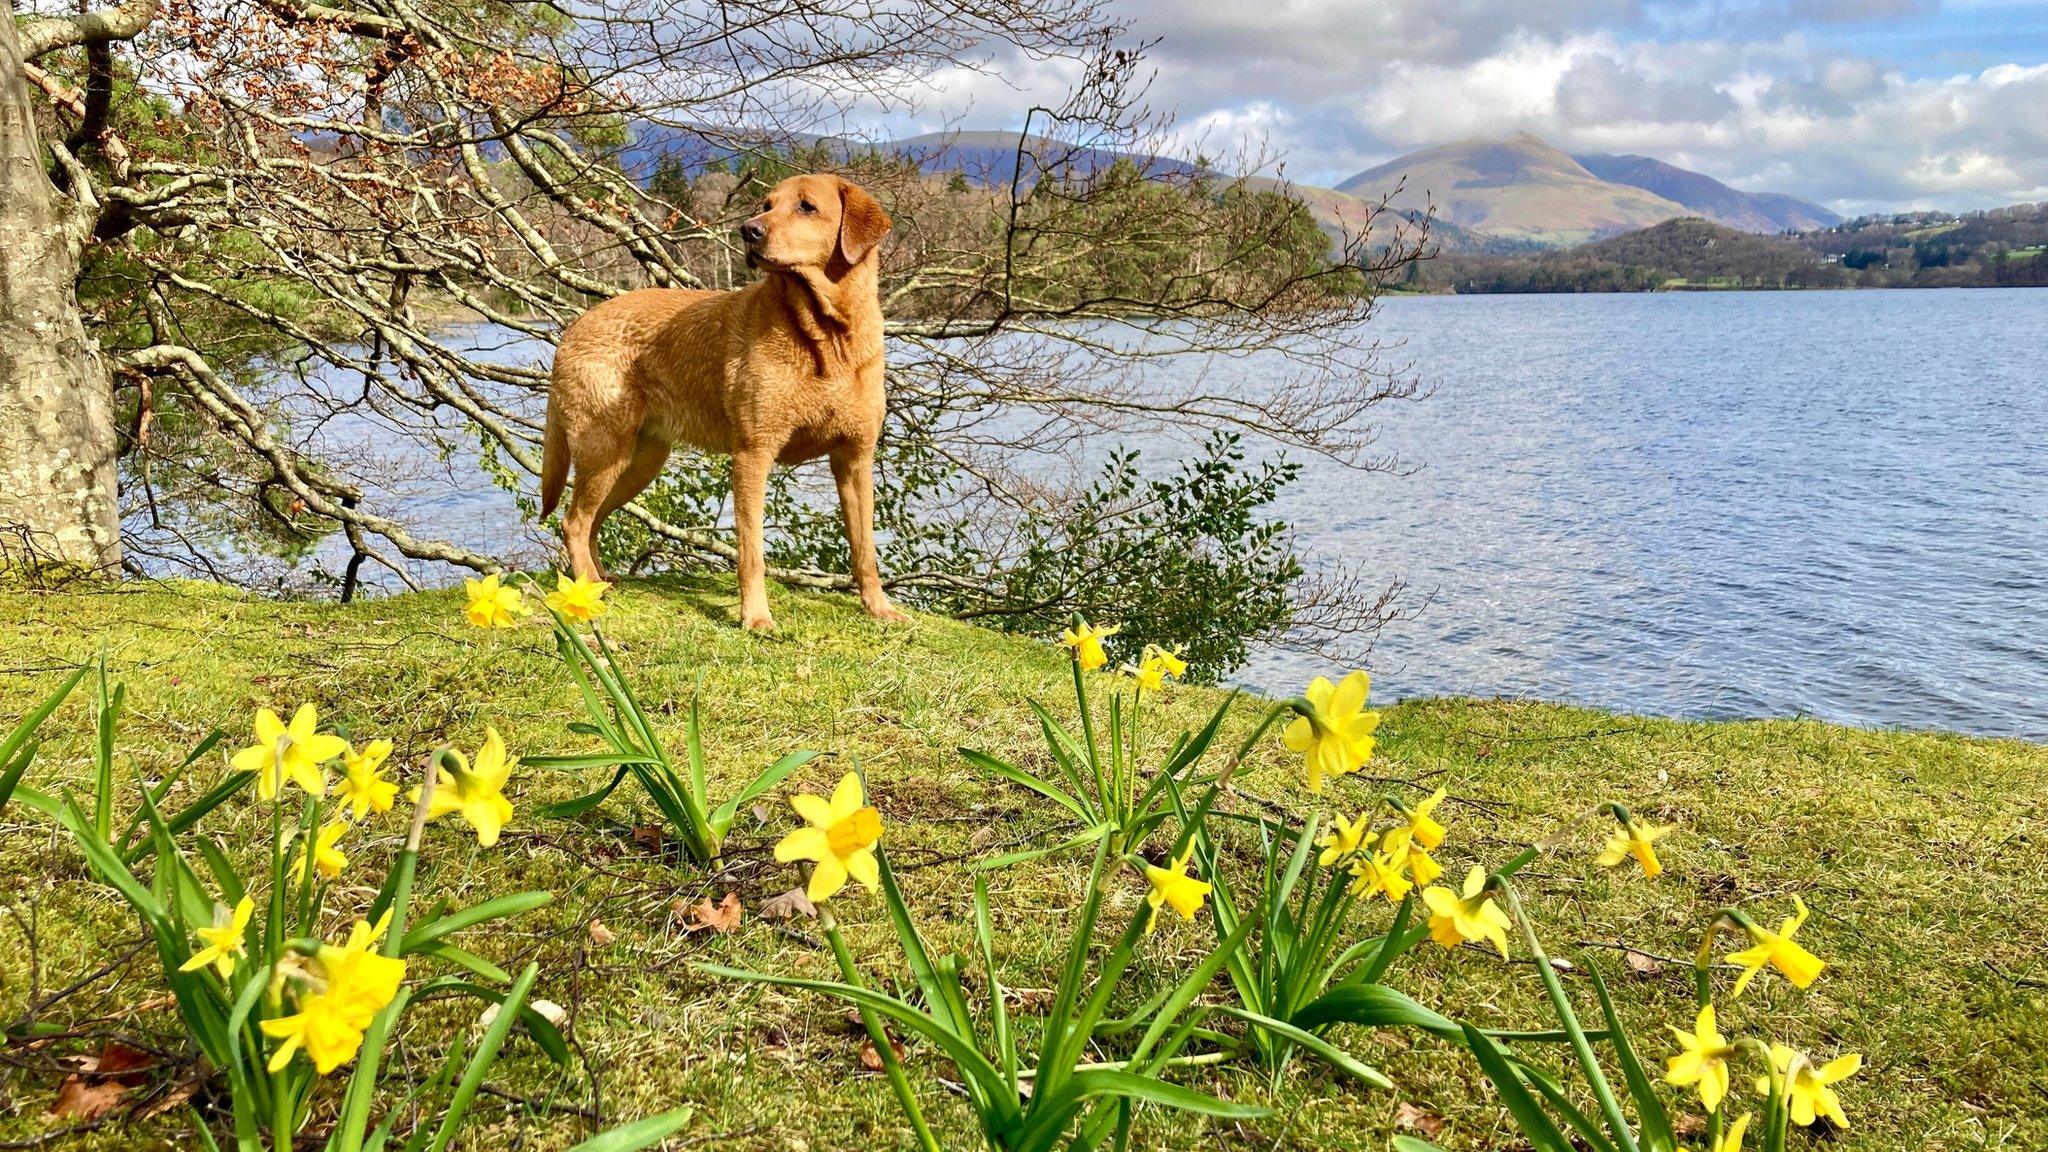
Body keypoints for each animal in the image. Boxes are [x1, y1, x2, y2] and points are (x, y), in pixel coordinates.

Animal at [540, 175, 909, 631]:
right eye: (766, 204)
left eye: (806, 206)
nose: (748, 230)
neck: (826, 338)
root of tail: (571, 329)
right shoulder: (753, 453)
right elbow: (751, 551)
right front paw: (756, 617)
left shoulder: (855, 459)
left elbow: (865, 550)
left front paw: (879, 608)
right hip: (605, 450)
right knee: (573, 522)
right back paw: (588, 592)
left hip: (639, 461)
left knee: (592, 520)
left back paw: (598, 581)